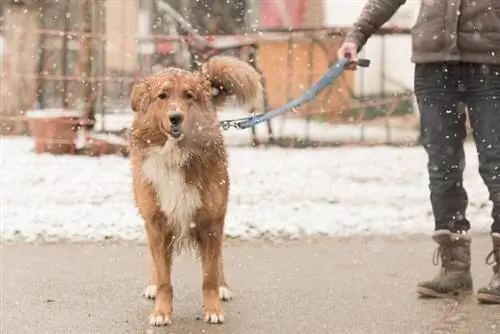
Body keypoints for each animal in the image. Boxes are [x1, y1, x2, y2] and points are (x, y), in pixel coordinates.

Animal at [127, 55, 264, 326]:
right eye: (162, 96)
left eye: (188, 96)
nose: (176, 117)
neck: (176, 154)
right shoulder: (156, 223)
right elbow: (164, 278)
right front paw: (161, 312)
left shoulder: (211, 222)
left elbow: (209, 276)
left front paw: (213, 309)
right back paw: (151, 286)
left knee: (218, 259)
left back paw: (223, 288)